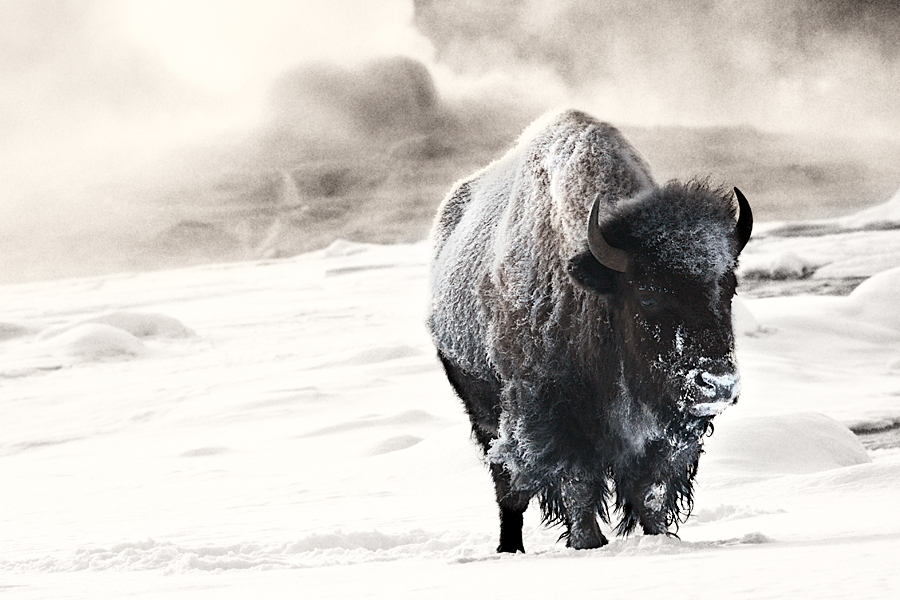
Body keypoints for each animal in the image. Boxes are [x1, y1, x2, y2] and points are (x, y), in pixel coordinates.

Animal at [428, 109, 752, 552]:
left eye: (729, 287)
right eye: (648, 295)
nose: (718, 384)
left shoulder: (662, 434)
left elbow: (651, 490)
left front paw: (660, 539)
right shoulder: (552, 416)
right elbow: (577, 484)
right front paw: (588, 543)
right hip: (484, 413)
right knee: (508, 488)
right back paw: (509, 548)